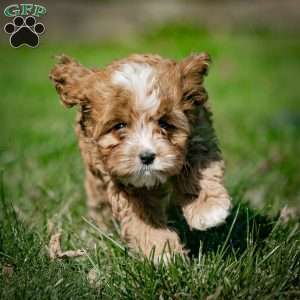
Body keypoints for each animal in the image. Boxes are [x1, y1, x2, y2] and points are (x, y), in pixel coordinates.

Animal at [49, 52, 232, 262]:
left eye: (165, 123)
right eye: (119, 126)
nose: (147, 157)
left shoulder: (199, 134)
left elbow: (198, 168)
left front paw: (208, 208)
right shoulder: (120, 180)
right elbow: (143, 215)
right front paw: (162, 250)